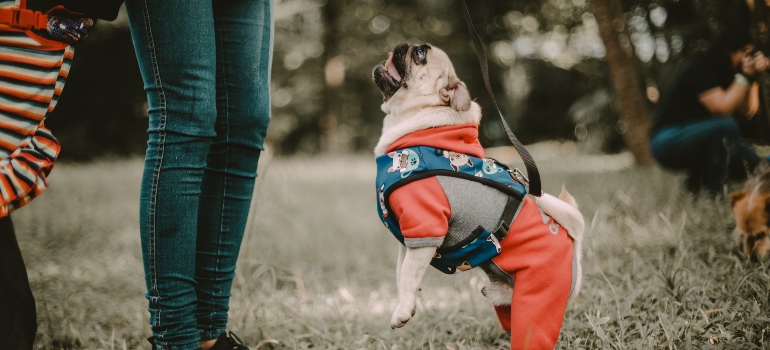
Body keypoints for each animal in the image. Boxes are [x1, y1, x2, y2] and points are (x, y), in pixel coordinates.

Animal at [370, 44, 584, 350]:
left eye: (420, 55)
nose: (402, 45)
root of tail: (575, 249)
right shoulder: (410, 236)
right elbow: (402, 271)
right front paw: (406, 301)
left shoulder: (425, 225)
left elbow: (408, 274)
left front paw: (402, 310)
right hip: (508, 305)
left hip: (537, 300)